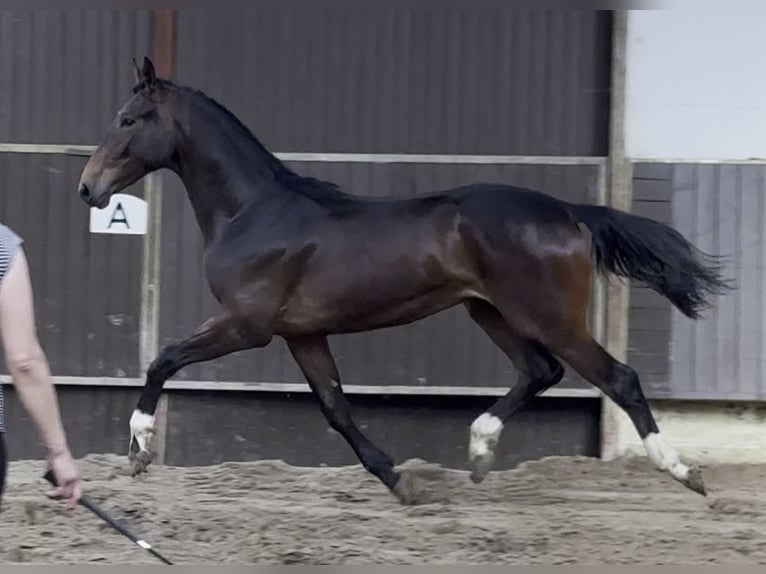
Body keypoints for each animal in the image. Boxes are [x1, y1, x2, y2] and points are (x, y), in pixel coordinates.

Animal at [78, 58, 732, 506]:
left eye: (127, 119)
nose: (89, 188)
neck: (253, 211)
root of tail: (570, 213)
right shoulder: (303, 335)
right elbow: (336, 409)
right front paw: (401, 482)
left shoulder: (247, 325)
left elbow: (163, 358)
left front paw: (137, 451)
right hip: (489, 311)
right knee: (539, 372)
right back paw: (479, 450)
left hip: (548, 317)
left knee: (618, 378)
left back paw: (685, 473)